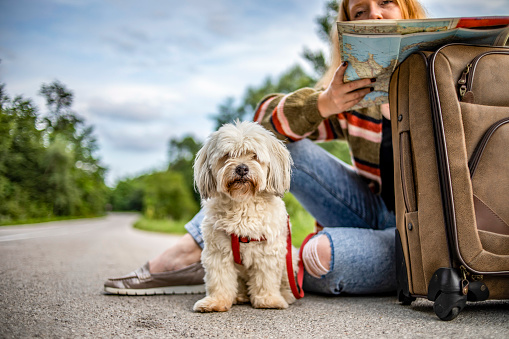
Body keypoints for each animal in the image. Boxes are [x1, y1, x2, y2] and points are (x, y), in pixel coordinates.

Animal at [193, 120, 298, 314]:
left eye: (254, 156)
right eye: (227, 155)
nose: (242, 168)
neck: (242, 203)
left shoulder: (268, 250)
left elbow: (266, 278)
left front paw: (268, 300)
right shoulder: (217, 252)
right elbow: (219, 280)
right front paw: (215, 302)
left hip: (290, 260)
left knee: (286, 283)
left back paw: (285, 296)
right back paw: (240, 296)